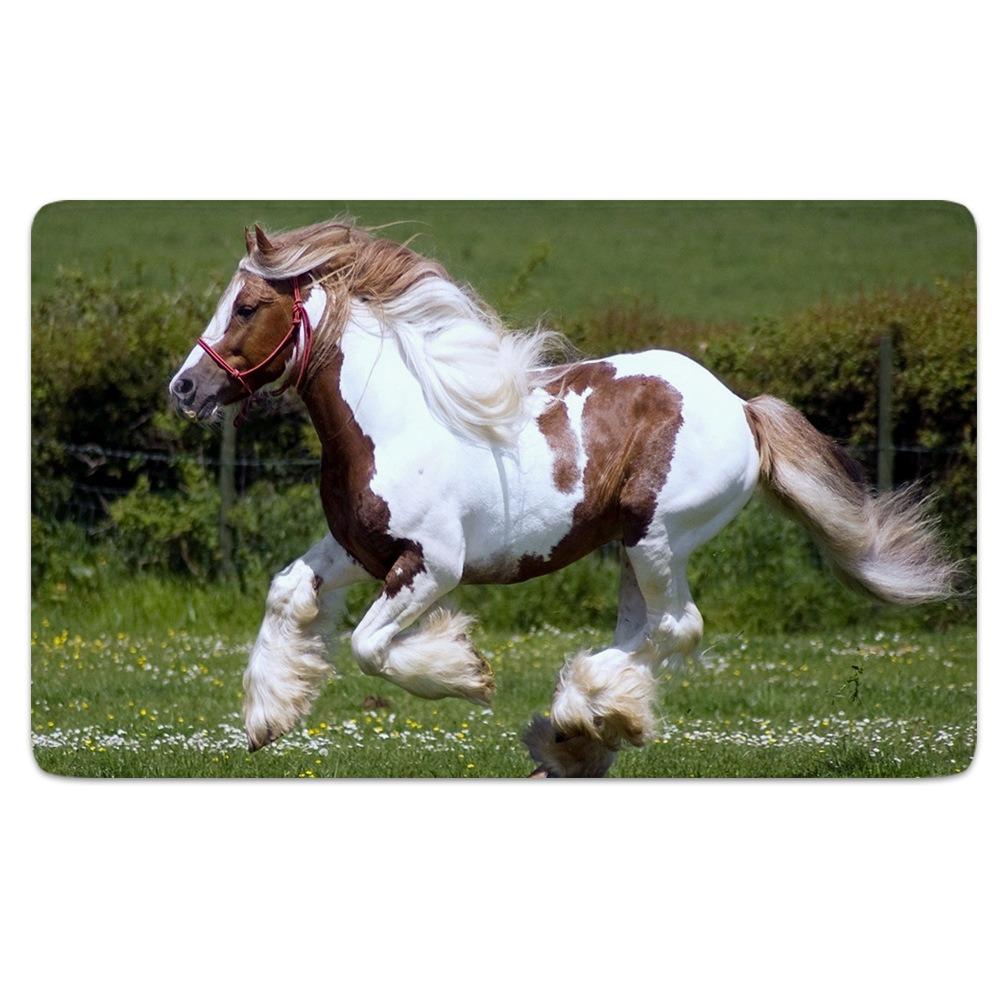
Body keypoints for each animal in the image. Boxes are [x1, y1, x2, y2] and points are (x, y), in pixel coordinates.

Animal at [168, 218, 956, 777]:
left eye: (246, 307)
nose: (184, 388)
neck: (395, 420)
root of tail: (741, 408)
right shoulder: (357, 548)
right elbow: (285, 591)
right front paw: (267, 718)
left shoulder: (433, 565)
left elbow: (368, 646)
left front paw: (468, 673)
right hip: (632, 549)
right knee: (648, 631)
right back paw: (579, 737)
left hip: (656, 536)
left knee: (678, 628)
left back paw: (578, 722)